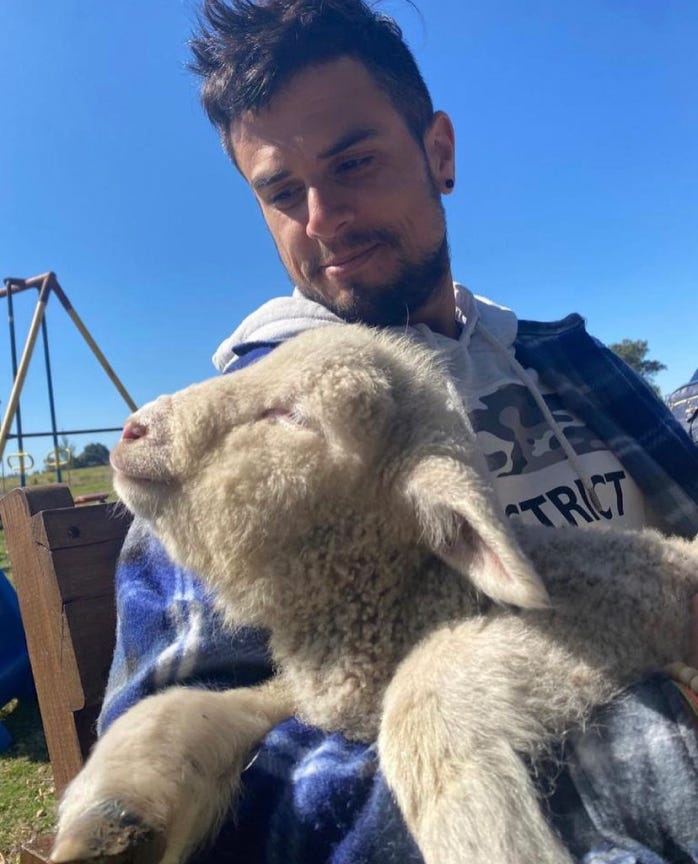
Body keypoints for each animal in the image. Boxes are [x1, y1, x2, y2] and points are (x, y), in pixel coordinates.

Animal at [51, 324, 696, 864]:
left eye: (293, 416)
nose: (131, 430)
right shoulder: (312, 701)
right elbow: (179, 706)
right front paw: (110, 827)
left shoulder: (621, 602)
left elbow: (426, 685)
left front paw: (486, 836)